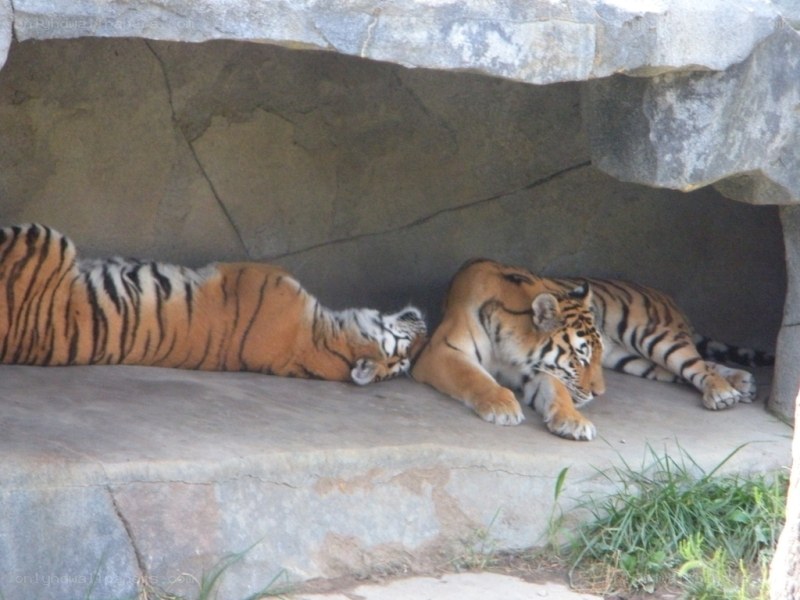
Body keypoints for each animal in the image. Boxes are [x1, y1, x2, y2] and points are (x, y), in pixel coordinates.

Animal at [411, 258, 606, 441]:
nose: (599, 394)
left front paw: (575, 421)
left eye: (599, 356)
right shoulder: (442, 349)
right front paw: (503, 406)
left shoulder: (537, 369)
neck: (508, 352)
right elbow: (472, 375)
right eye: (581, 360)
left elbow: (559, 391)